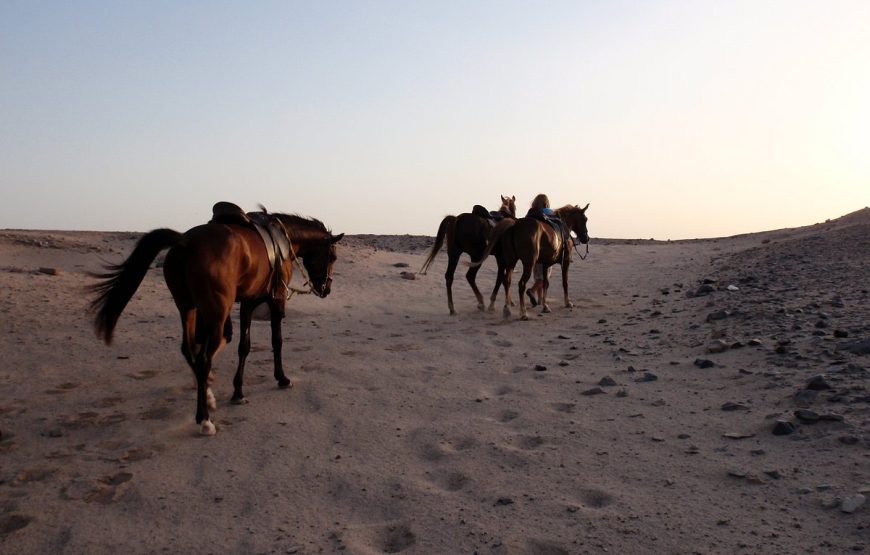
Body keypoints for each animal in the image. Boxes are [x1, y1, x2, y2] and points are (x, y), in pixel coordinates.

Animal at [88, 209, 343, 436]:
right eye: (332, 256)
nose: (326, 289)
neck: (283, 240)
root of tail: (185, 242)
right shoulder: (275, 300)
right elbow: (276, 341)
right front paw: (282, 378)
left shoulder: (248, 302)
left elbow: (244, 346)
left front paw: (238, 391)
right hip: (217, 313)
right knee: (203, 358)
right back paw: (205, 419)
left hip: (187, 308)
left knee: (189, 349)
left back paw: (208, 397)